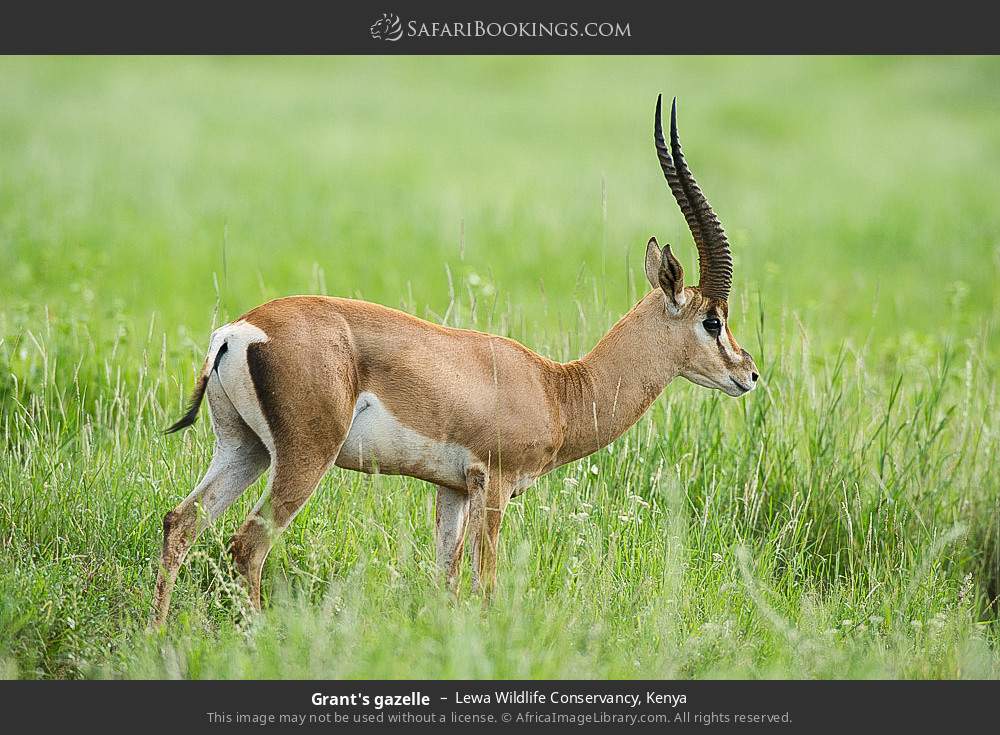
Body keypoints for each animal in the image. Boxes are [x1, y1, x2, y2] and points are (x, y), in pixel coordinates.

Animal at [151, 95, 758, 626]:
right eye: (712, 319)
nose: (748, 373)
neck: (557, 388)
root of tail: (239, 331)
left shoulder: (452, 490)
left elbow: (446, 581)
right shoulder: (494, 485)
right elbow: (486, 584)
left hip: (245, 449)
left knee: (180, 522)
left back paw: (156, 634)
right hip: (305, 457)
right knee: (246, 544)